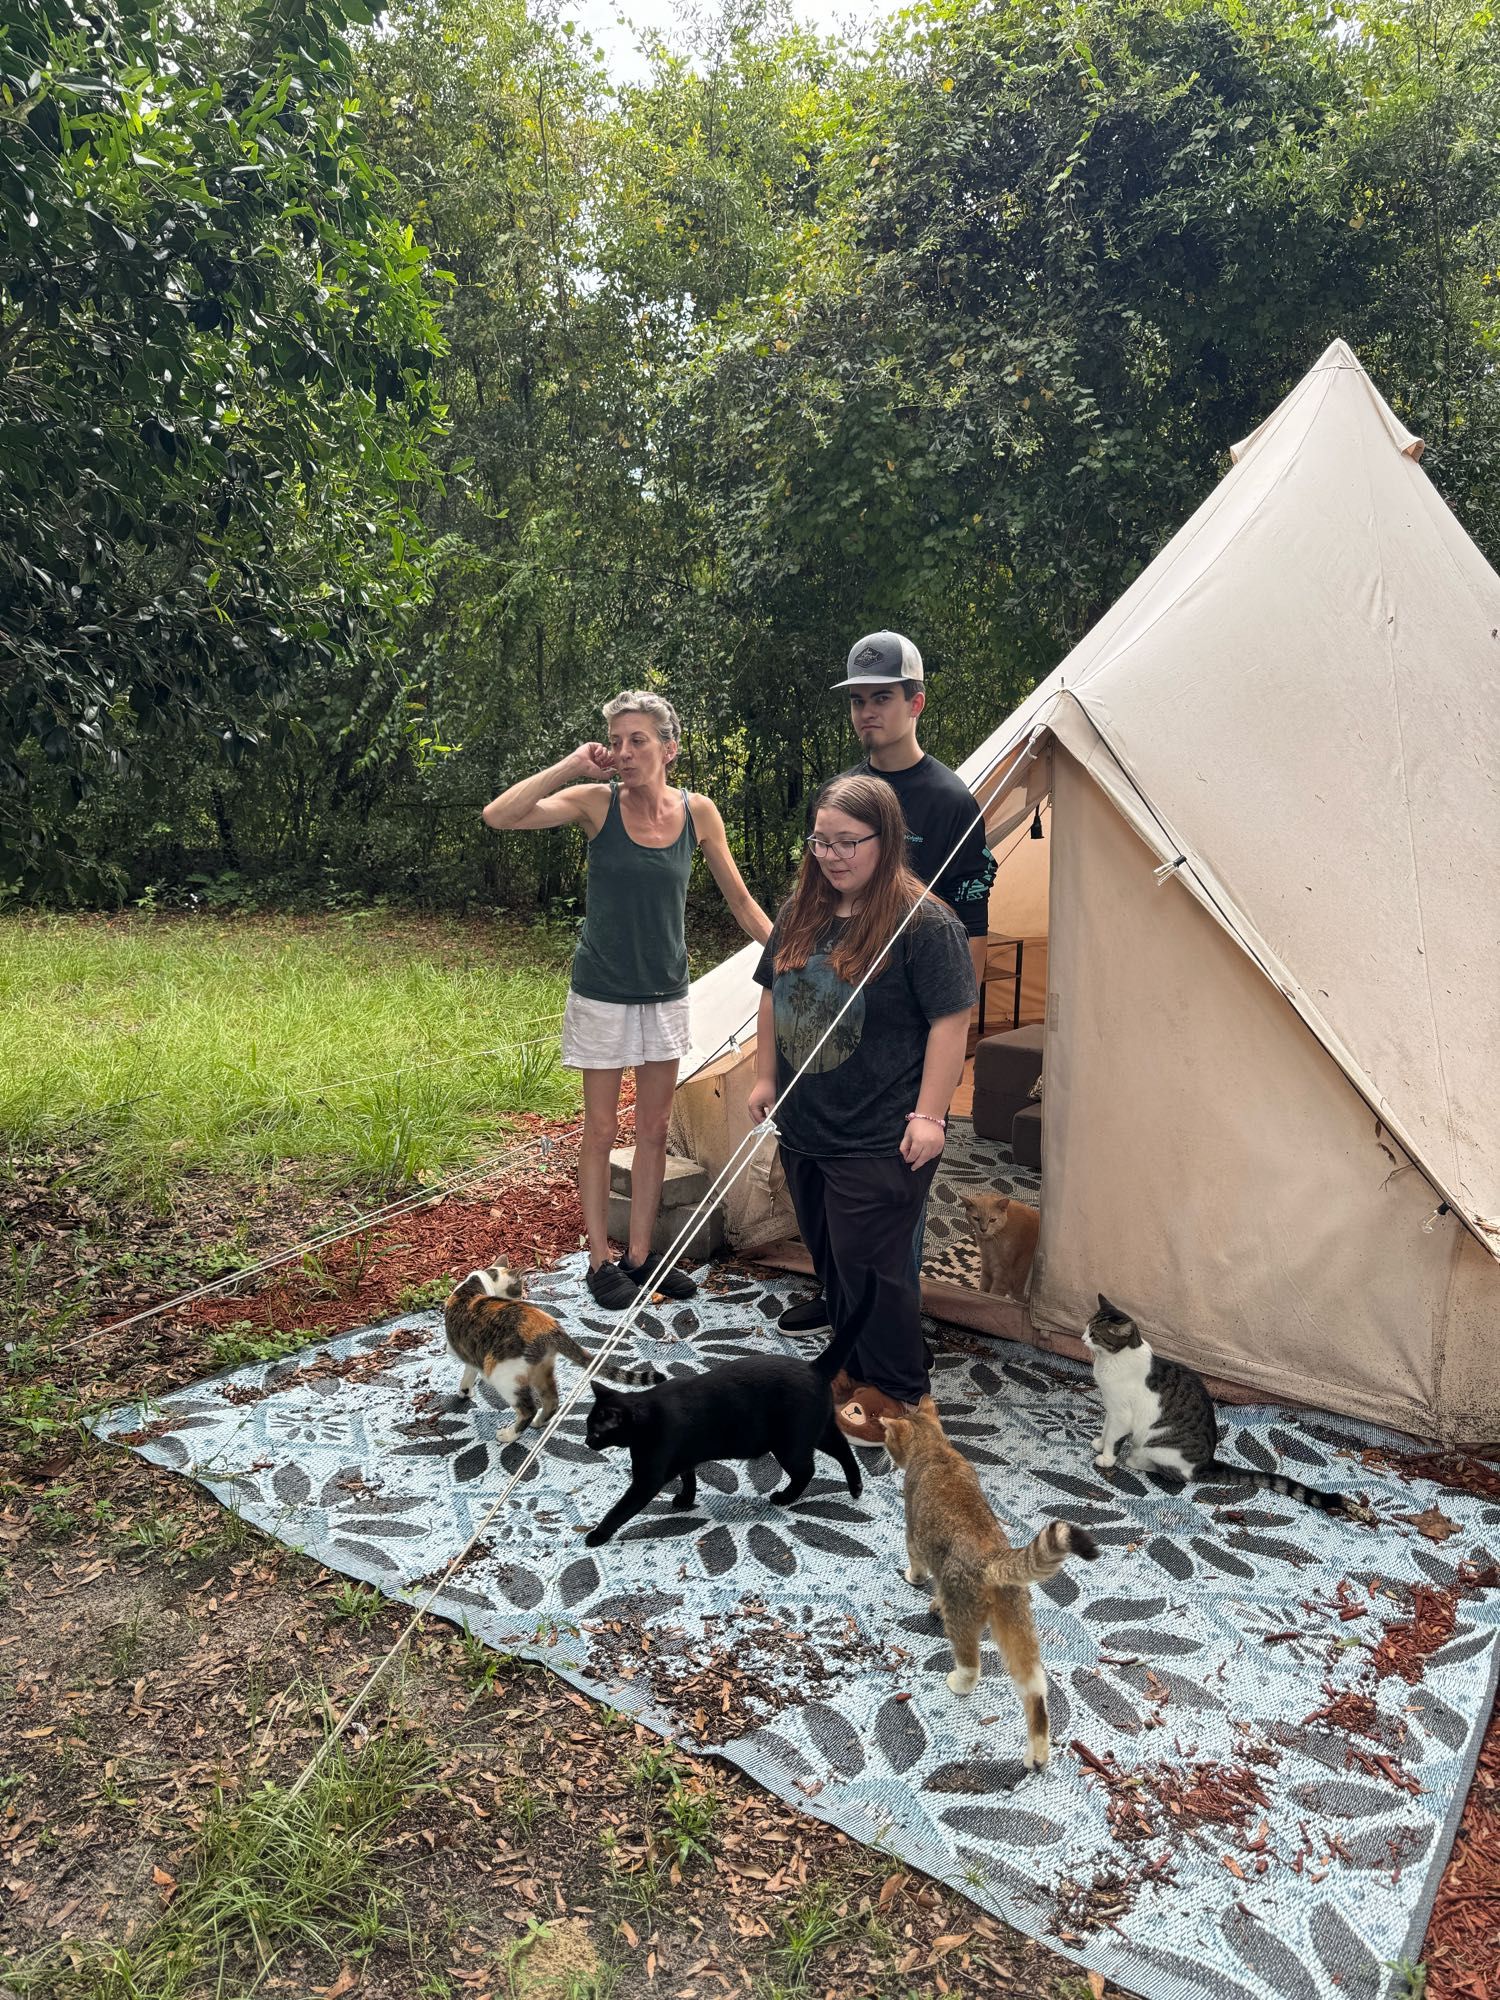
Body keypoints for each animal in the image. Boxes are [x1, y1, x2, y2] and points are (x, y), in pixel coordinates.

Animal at [440, 1256, 664, 1448]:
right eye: (518, 1289)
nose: (522, 1296)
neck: (478, 1283)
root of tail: (548, 1327)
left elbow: (469, 1371)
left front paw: (466, 1393)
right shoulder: (471, 1352)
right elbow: (468, 1373)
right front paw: (465, 1391)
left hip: (503, 1375)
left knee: (528, 1409)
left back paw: (510, 1434)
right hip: (541, 1369)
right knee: (552, 1400)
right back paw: (540, 1421)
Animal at [880, 1392, 1096, 1768]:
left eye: (886, 1438)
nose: (882, 1451)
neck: (935, 1449)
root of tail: (995, 1556)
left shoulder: (913, 1534)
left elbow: (917, 1564)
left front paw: (914, 1579)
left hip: (963, 1617)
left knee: (972, 1664)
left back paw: (959, 1681)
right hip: (1019, 1628)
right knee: (1036, 1693)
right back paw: (1037, 1753)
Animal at [1088, 1296, 1368, 1512]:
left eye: (1093, 1334)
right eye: (1087, 1327)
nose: (1082, 1336)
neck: (1111, 1361)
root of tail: (1208, 1462)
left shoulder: (1122, 1414)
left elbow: (1114, 1437)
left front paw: (1107, 1458)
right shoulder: (1111, 1407)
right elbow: (1106, 1429)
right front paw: (1100, 1443)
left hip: (1157, 1444)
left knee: (1177, 1474)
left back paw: (1135, 1460)